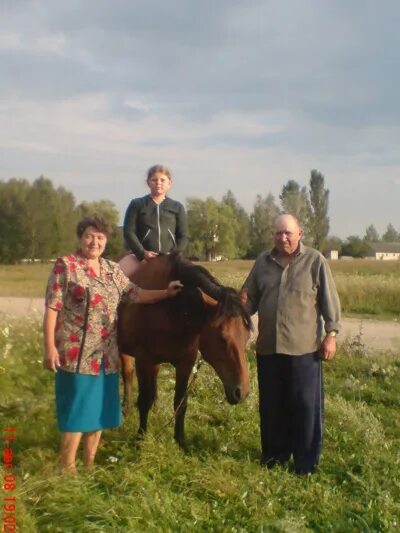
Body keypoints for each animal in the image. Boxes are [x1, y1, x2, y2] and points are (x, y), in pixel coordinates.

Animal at [117, 254, 252, 444]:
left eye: (247, 336)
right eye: (222, 337)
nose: (242, 392)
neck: (172, 309)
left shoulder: (185, 363)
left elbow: (181, 403)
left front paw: (181, 440)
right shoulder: (143, 360)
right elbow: (143, 400)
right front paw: (141, 437)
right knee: (127, 374)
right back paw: (126, 408)